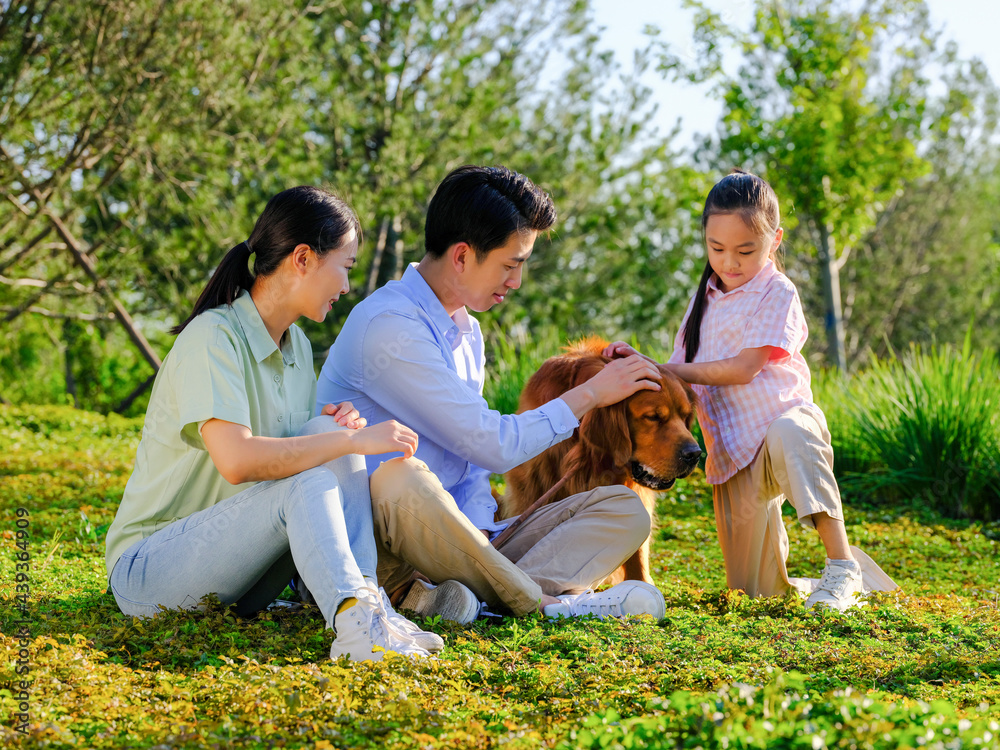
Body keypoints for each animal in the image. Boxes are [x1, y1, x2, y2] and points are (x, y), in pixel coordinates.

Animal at [500, 340, 704, 588]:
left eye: (685, 416)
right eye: (653, 417)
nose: (695, 454)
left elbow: (638, 551)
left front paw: (642, 583)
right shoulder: (534, 487)